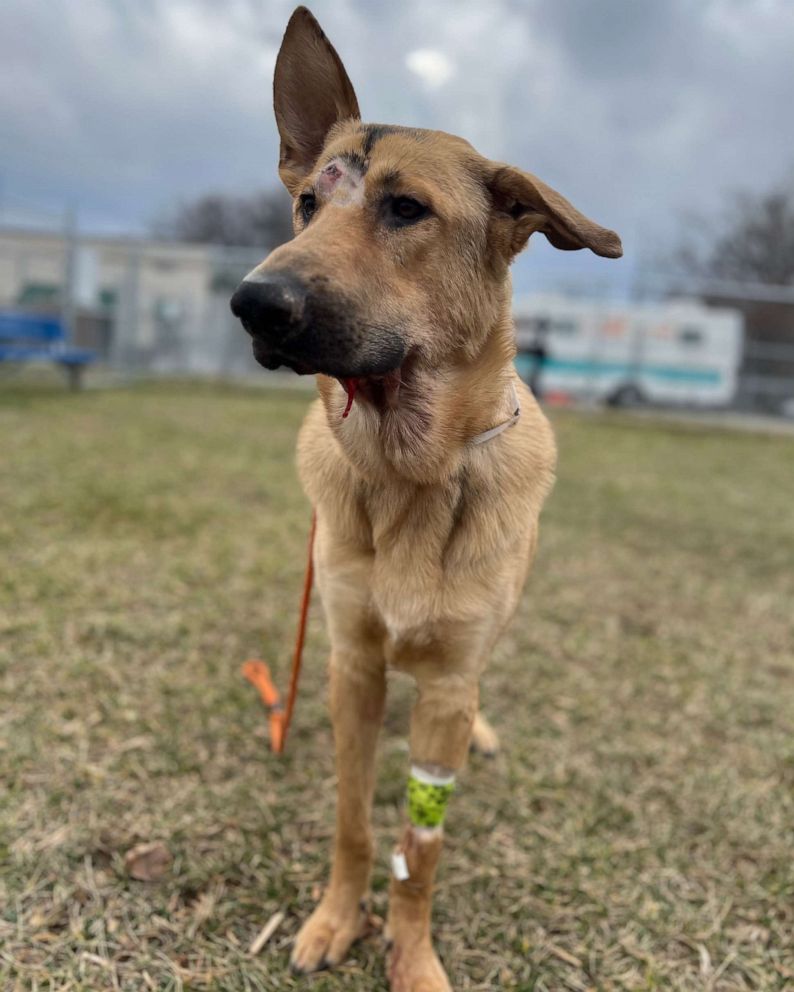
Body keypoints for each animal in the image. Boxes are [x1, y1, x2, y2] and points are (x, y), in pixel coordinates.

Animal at [229, 9, 620, 992]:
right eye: (307, 204)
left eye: (405, 208)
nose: (252, 302)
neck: (409, 475)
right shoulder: (352, 667)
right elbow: (356, 821)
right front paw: (338, 919)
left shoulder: (445, 684)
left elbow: (422, 852)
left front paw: (410, 956)